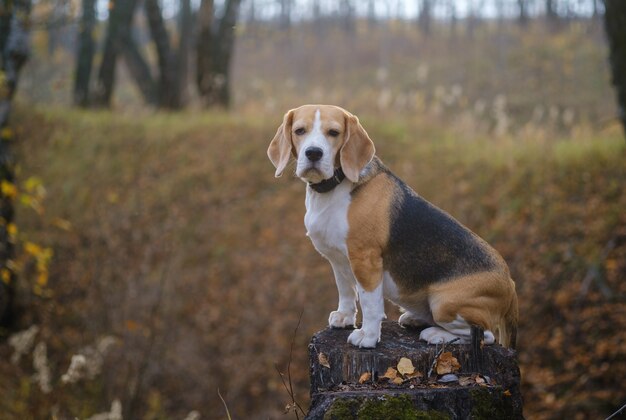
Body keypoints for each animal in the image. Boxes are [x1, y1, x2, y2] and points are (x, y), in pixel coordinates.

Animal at [266, 105, 516, 348]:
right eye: (300, 131)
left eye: (334, 133)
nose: (313, 153)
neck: (334, 187)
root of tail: (511, 284)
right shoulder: (337, 259)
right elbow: (346, 290)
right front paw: (345, 317)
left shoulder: (366, 260)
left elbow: (370, 303)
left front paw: (367, 336)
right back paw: (416, 318)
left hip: (444, 302)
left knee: (483, 335)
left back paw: (436, 334)